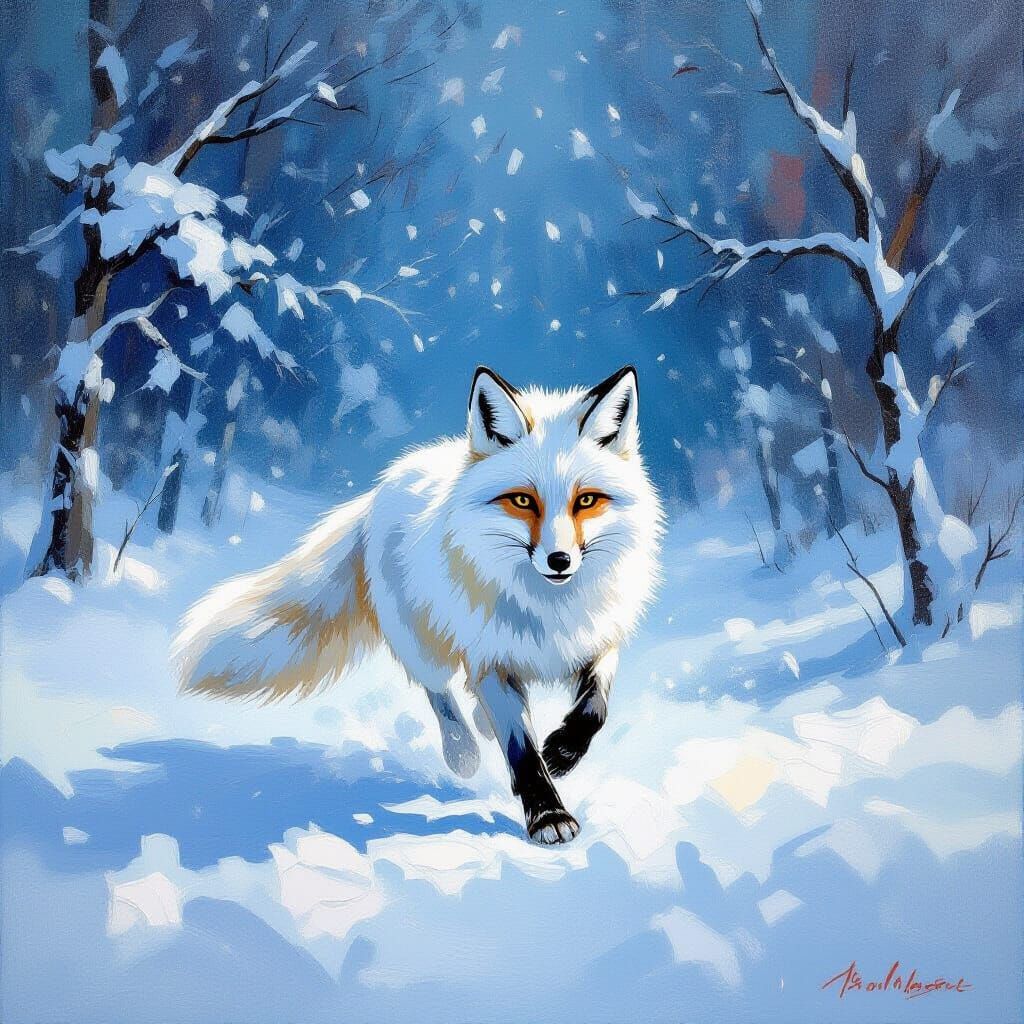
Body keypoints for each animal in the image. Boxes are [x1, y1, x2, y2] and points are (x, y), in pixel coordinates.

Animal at [173, 365, 663, 844]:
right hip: (422, 643)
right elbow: (520, 750)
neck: (548, 607)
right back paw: (462, 750)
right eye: (523, 500)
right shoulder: (490, 660)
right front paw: (547, 814)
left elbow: (595, 707)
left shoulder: (598, 637)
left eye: (587, 500)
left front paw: (563, 750)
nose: (559, 560)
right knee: (440, 692)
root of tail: (380, 490)